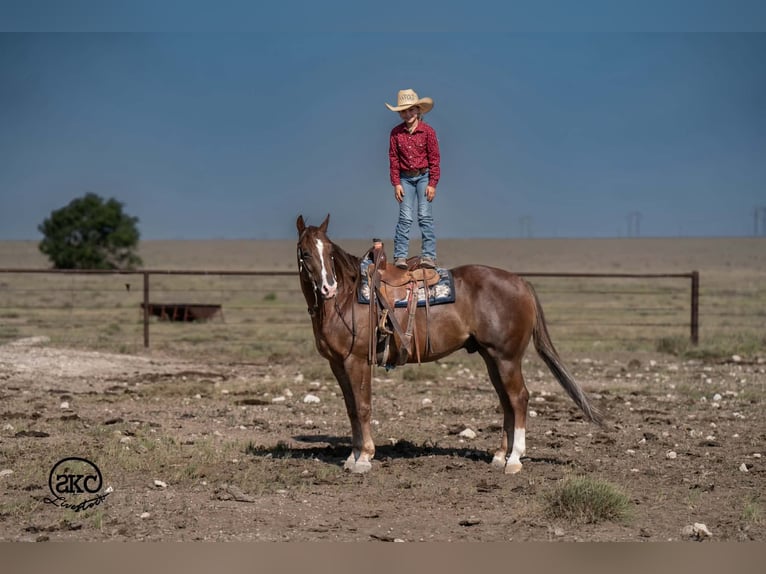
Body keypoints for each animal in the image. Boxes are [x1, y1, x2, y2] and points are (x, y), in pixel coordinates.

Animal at [296, 214, 602, 474]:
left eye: (330, 253)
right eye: (306, 253)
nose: (328, 287)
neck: (345, 299)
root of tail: (521, 282)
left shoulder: (357, 360)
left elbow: (362, 406)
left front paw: (364, 458)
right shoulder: (337, 363)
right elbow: (350, 408)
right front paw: (352, 457)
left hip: (507, 358)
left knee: (519, 398)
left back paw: (514, 459)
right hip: (492, 358)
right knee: (506, 401)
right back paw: (499, 456)